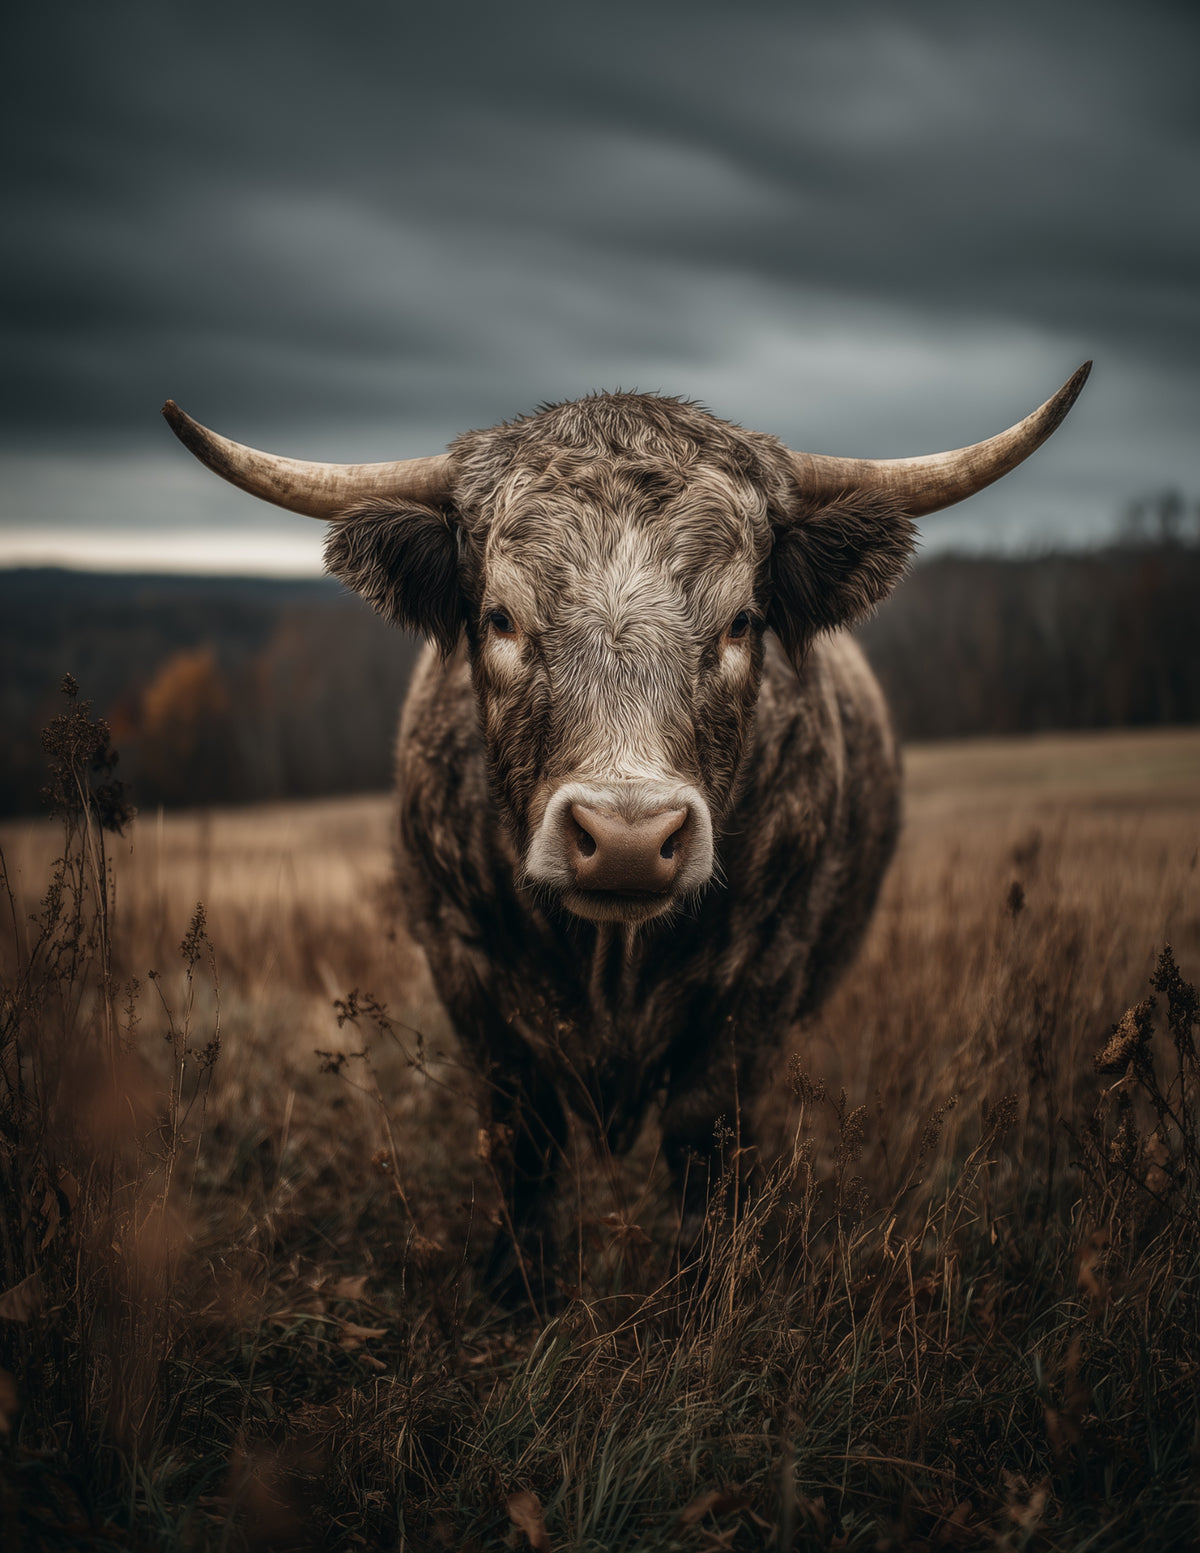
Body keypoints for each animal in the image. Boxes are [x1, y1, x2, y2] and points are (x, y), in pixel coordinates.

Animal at [163, 363, 1090, 1291]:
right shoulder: (464, 964)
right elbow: (526, 1132)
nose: (629, 839)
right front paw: (517, 1280)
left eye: (741, 621)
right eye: (501, 618)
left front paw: (706, 1277)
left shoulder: (766, 969)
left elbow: (703, 1129)